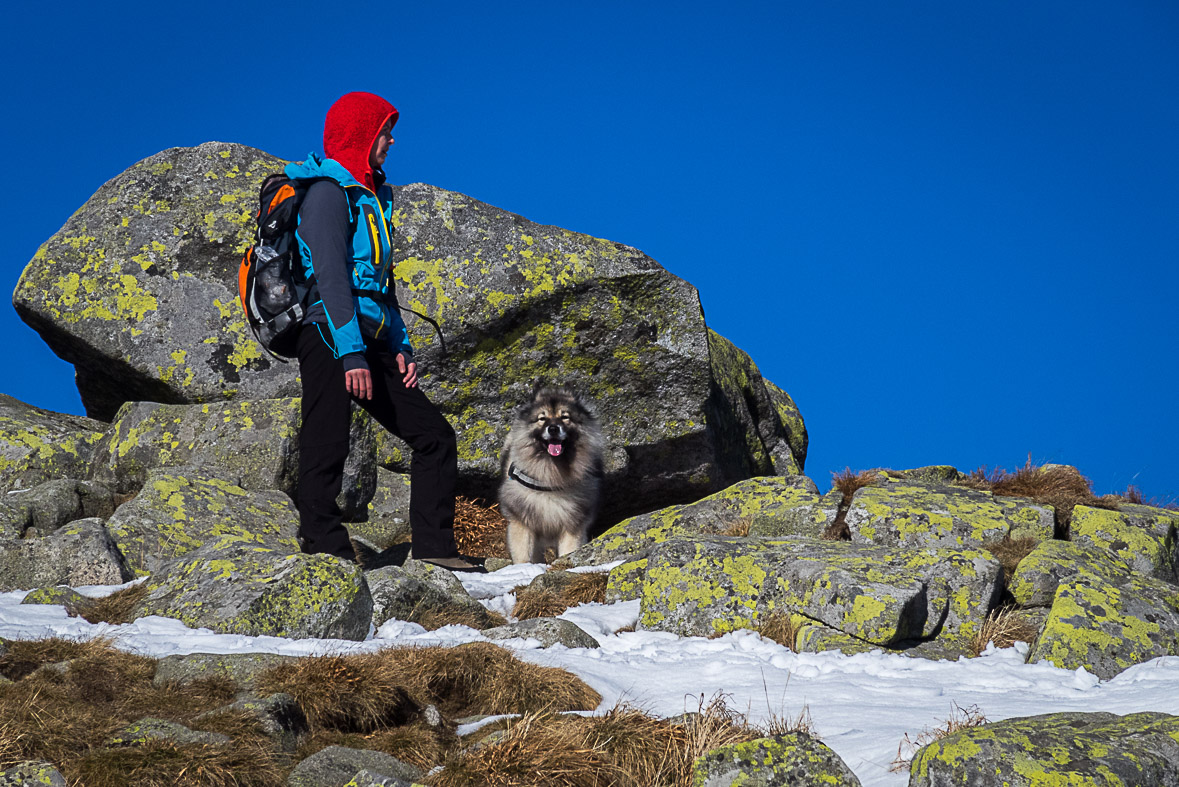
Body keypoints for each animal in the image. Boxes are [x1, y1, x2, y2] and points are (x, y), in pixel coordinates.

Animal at [499, 384, 608, 563]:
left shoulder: (573, 524)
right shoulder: (522, 522)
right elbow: (523, 554)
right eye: (542, 419)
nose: (553, 429)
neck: (551, 475)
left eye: (565, 417)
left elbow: (569, 550)